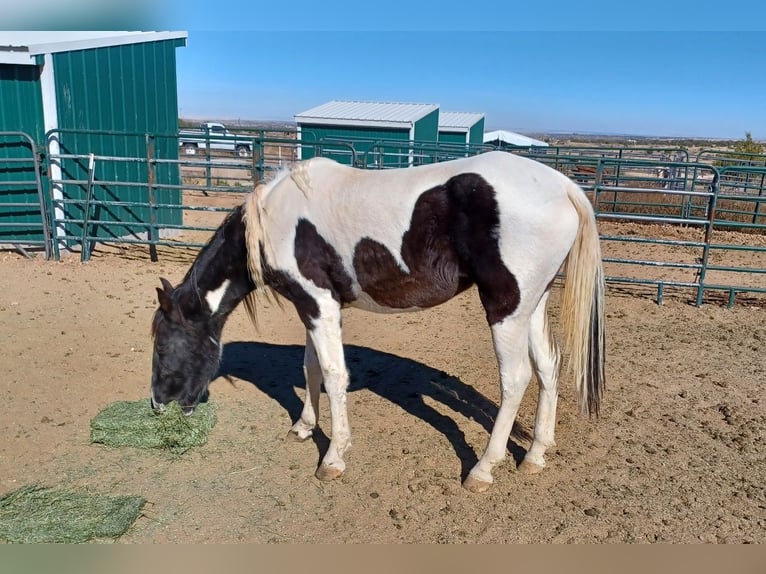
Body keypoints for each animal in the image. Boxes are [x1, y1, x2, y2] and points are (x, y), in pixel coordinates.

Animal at [150, 150, 605, 493]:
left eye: (161, 345)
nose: (158, 404)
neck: (276, 220)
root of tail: (564, 187)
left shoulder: (319, 304)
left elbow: (334, 375)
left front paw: (333, 457)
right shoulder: (312, 307)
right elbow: (310, 367)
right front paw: (304, 427)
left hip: (504, 307)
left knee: (515, 379)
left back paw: (483, 469)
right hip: (532, 304)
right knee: (548, 366)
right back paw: (536, 455)